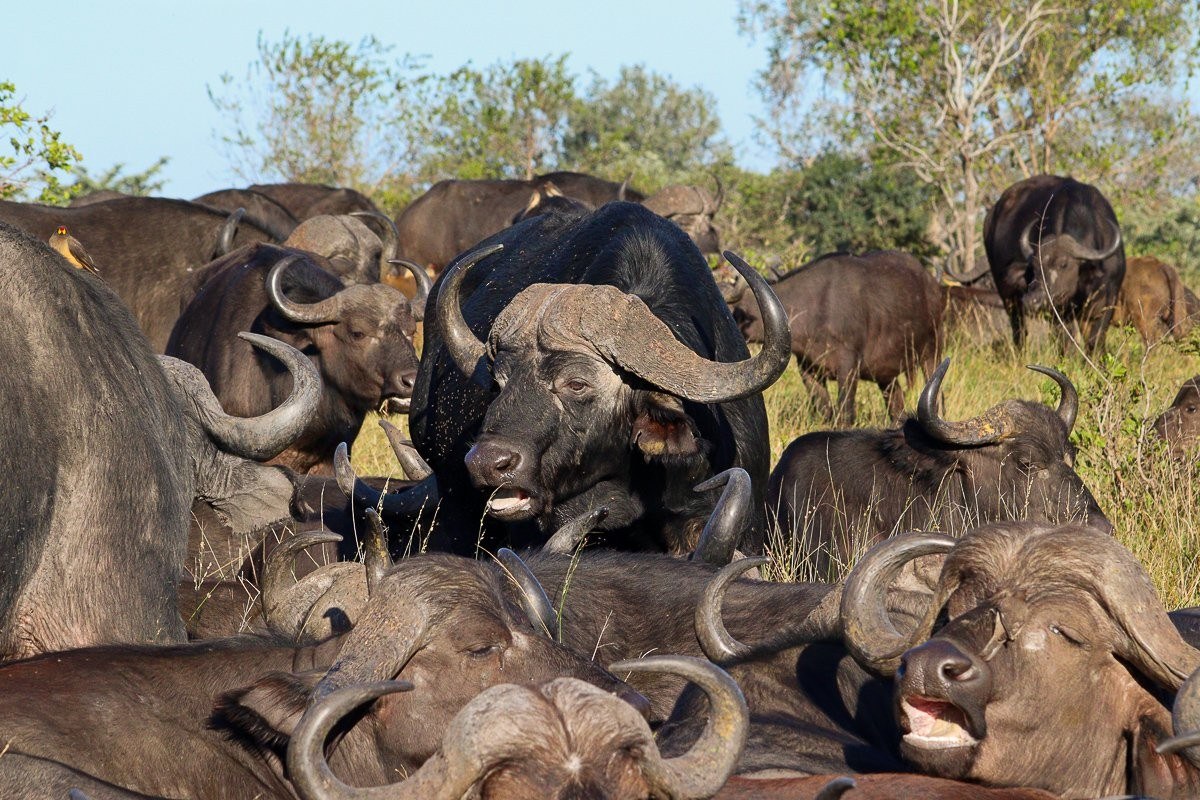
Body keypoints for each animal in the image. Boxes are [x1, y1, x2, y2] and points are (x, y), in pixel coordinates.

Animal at [730, 250, 943, 425]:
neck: (815, 309)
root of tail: (931, 282)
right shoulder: (808, 370)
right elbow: (825, 411)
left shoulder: (848, 368)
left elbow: (844, 414)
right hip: (886, 375)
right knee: (896, 404)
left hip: (932, 352)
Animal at [983, 175, 1125, 352]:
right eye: (1034, 268)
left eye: (1063, 264)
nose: (1032, 301)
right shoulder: (1058, 309)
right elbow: (1067, 342)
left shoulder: (1108, 299)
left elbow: (1095, 340)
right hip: (1008, 296)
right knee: (1019, 330)